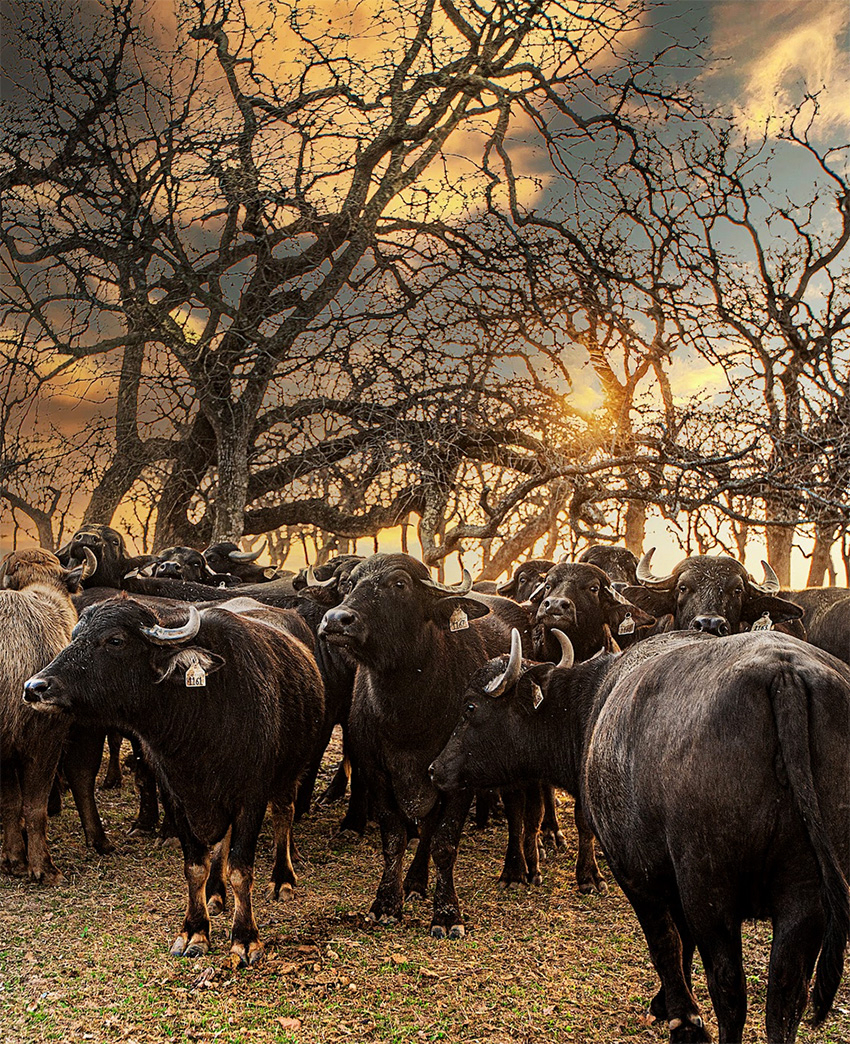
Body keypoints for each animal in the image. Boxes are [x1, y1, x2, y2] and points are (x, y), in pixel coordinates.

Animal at [25, 592, 325, 964]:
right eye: (74, 636)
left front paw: (245, 939)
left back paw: (283, 879)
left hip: (289, 773)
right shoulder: (178, 795)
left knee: (284, 815)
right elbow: (195, 866)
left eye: (115, 640)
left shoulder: (250, 797)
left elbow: (241, 869)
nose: (35, 687)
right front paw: (195, 931)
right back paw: (215, 893)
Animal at [432, 626, 850, 1044]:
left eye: (470, 708)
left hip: (709, 887)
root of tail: (783, 674)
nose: (436, 769)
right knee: (785, 995)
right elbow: (682, 941)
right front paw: (666, 1002)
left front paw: (683, 1017)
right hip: (806, 894)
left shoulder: (633, 872)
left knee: (729, 987)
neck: (591, 709)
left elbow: (665, 942)